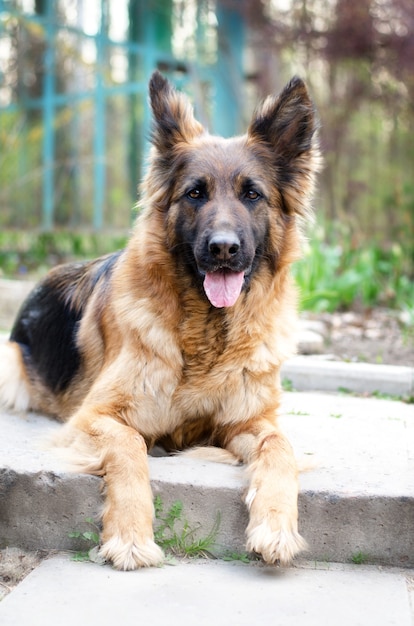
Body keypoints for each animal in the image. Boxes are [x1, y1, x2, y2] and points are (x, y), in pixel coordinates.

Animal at [0, 70, 320, 568]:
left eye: (252, 194)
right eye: (195, 193)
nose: (223, 249)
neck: (207, 334)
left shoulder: (251, 422)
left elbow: (280, 447)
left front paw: (277, 526)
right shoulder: (96, 416)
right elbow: (131, 449)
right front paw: (130, 535)